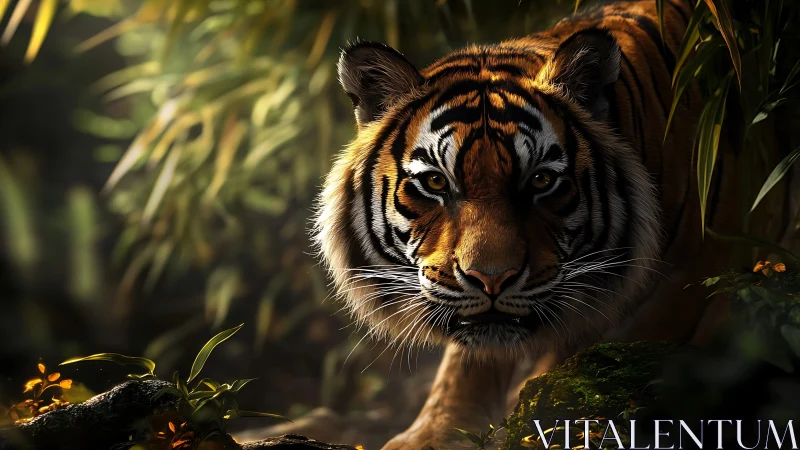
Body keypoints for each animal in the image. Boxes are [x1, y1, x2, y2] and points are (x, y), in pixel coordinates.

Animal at [311, 0, 792, 448]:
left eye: (541, 180)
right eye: (435, 182)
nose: (492, 279)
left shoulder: (691, 277)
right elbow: (466, 360)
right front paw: (434, 434)